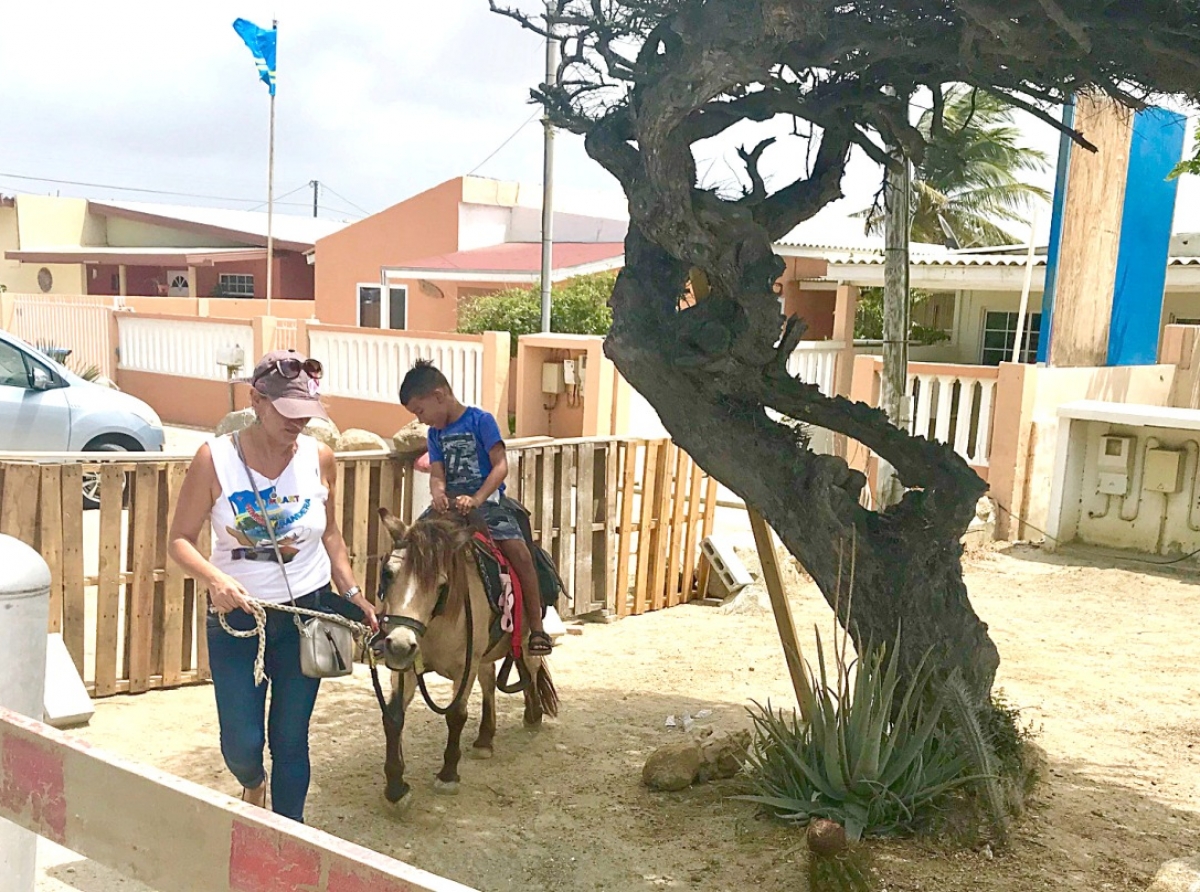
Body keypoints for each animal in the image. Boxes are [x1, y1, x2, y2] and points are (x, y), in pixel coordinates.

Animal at [374, 509, 556, 811]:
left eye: (441, 584)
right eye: (388, 574)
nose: (398, 645)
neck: (437, 622)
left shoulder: (465, 668)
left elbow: (456, 715)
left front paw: (448, 775)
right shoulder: (405, 668)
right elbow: (394, 717)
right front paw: (396, 788)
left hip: (527, 640)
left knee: (531, 669)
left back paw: (533, 714)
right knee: (490, 682)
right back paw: (485, 739)